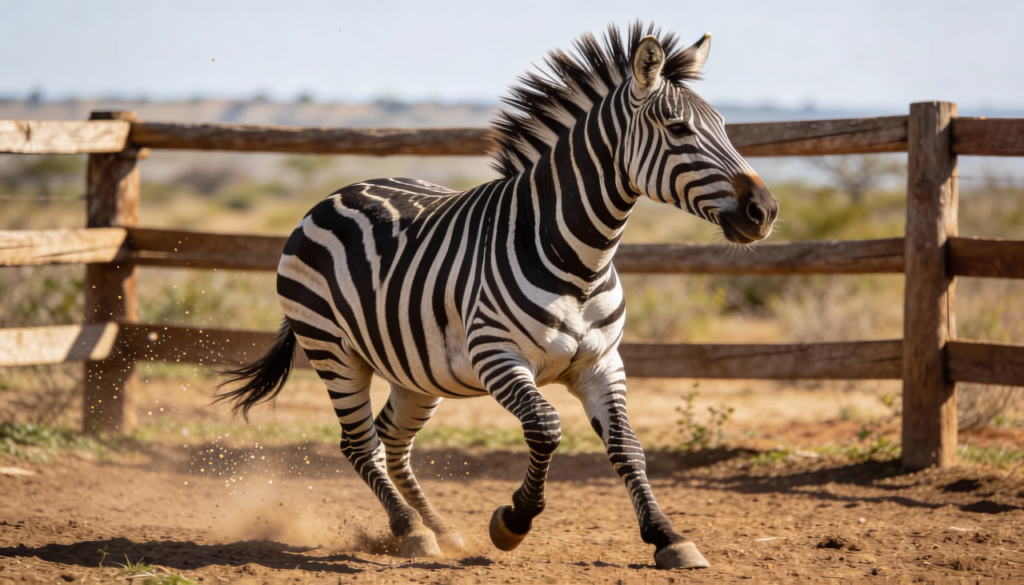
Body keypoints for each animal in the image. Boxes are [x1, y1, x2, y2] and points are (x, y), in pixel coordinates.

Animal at [219, 23, 777, 570]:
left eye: (724, 126)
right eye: (678, 129)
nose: (765, 211)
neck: (580, 263)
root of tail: (340, 191)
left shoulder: (602, 362)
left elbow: (627, 446)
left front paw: (667, 536)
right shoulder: (497, 356)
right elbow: (546, 427)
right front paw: (513, 521)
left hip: (416, 370)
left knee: (392, 441)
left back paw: (441, 530)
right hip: (334, 351)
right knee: (361, 444)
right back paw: (412, 531)